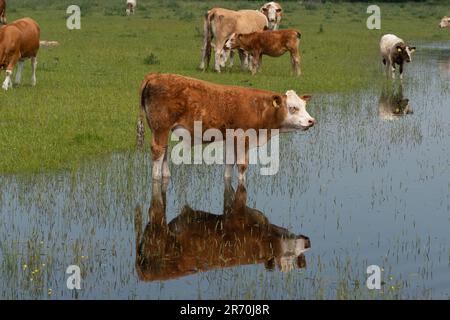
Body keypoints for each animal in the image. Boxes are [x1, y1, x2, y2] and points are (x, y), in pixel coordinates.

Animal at [134, 179, 310, 282]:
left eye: (298, 258)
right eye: (285, 257)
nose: (307, 242)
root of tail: (145, 275)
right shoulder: (238, 212)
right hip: (156, 232)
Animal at [137, 73, 316, 181]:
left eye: (304, 106)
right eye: (293, 107)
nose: (311, 121)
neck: (259, 108)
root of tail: (155, 75)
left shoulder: (231, 139)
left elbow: (229, 163)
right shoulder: (244, 138)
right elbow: (242, 166)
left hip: (160, 130)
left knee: (164, 150)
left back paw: (166, 176)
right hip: (161, 127)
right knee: (158, 151)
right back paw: (156, 178)